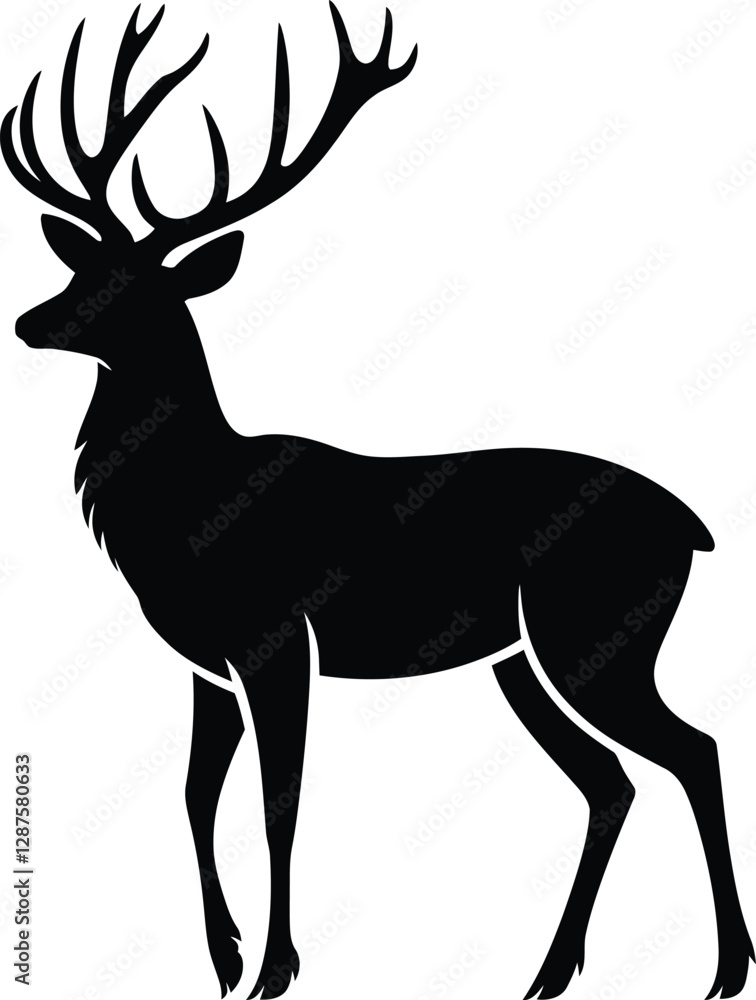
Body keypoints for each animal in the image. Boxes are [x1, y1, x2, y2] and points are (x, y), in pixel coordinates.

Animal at [2, 4, 753, 999]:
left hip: (596, 634)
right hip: (523, 660)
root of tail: (695, 529)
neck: (190, 510)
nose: (28, 322)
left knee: (692, 751)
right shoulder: (204, 662)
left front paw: (276, 968)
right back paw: (551, 972)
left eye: (139, 288)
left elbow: (278, 798)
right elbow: (197, 795)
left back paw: (725, 968)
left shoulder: (278, 639)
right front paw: (223, 959)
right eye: (82, 269)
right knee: (610, 780)